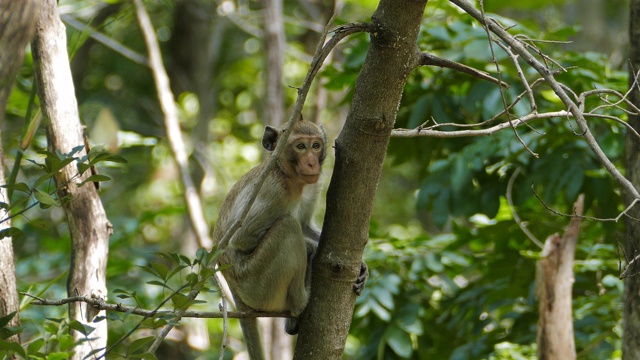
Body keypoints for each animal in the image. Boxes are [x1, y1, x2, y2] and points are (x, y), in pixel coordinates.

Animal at [212, 119, 368, 360]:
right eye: (300, 146)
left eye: (315, 145)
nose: (312, 163)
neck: (289, 177)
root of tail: (238, 295)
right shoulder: (274, 191)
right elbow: (242, 239)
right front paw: (312, 247)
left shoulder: (313, 185)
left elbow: (304, 224)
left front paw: (363, 267)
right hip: (257, 285)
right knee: (287, 227)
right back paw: (302, 298)